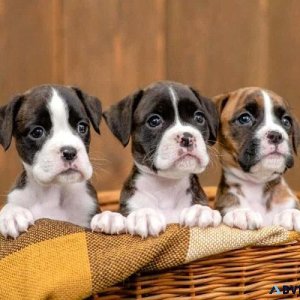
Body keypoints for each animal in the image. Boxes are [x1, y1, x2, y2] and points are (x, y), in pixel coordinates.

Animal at [99, 81, 221, 238]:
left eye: (199, 118)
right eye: (154, 121)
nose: (187, 137)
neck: (166, 186)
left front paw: (200, 211)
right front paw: (143, 216)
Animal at [214, 88, 300, 231]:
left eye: (286, 121)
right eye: (244, 118)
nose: (276, 135)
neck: (256, 186)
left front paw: (292, 214)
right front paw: (242, 213)